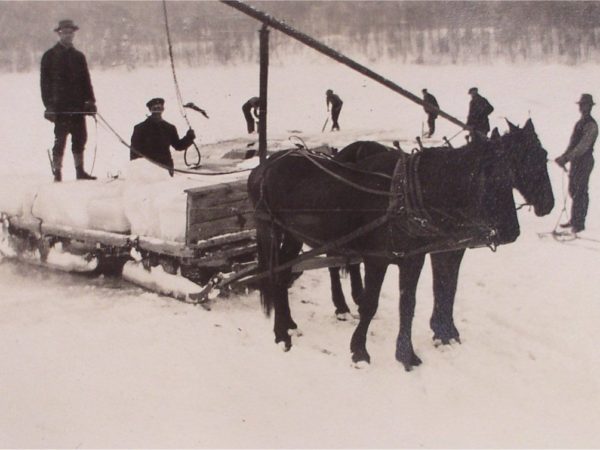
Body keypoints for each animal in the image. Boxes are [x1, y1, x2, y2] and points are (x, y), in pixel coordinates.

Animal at [247, 119, 552, 370]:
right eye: (496, 177)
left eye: (544, 157)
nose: (511, 231)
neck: (410, 194)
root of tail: (264, 167)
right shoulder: (379, 258)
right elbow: (371, 303)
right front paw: (360, 352)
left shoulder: (417, 255)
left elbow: (414, 301)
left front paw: (409, 353)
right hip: (273, 230)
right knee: (278, 275)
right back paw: (282, 333)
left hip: (295, 235)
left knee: (285, 272)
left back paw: (289, 323)